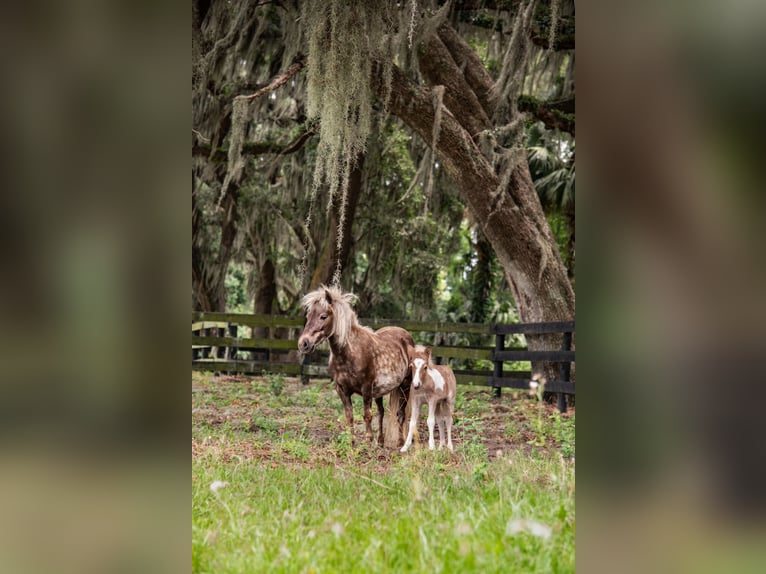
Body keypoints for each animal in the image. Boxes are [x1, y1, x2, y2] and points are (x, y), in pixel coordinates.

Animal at [296, 286, 414, 448]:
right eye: (308, 316)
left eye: (323, 316)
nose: (304, 343)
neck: (350, 353)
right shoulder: (342, 390)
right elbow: (349, 416)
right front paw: (352, 443)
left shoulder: (366, 388)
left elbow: (367, 415)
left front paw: (368, 441)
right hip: (380, 391)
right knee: (381, 412)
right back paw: (381, 442)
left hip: (404, 386)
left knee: (400, 414)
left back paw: (401, 443)